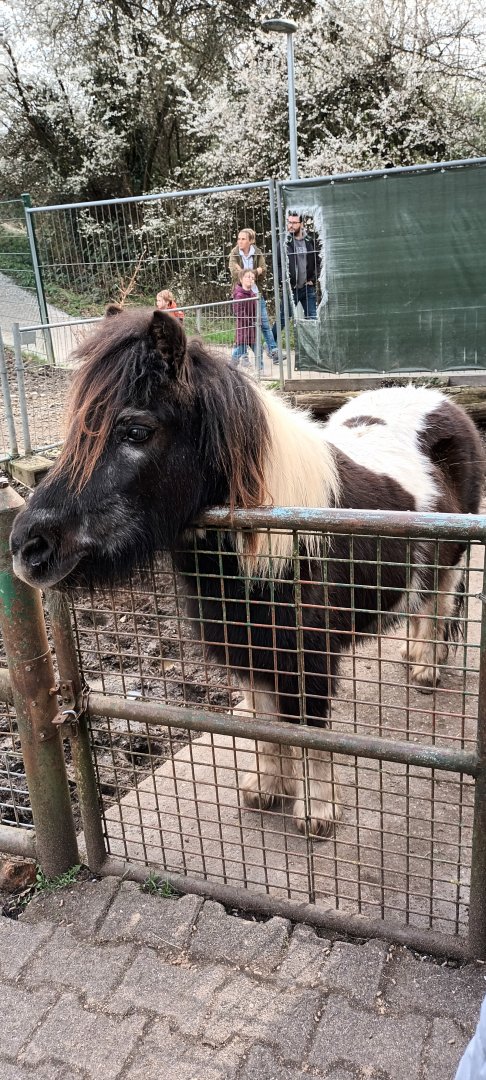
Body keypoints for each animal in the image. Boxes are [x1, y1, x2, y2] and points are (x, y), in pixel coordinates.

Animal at [10, 307, 484, 837]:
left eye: (135, 431)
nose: (28, 547)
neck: (281, 550)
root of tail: (441, 401)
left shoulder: (307, 660)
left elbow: (311, 734)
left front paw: (317, 813)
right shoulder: (248, 650)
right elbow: (264, 726)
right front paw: (267, 789)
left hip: (454, 554)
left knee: (438, 603)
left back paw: (426, 667)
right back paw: (413, 657)